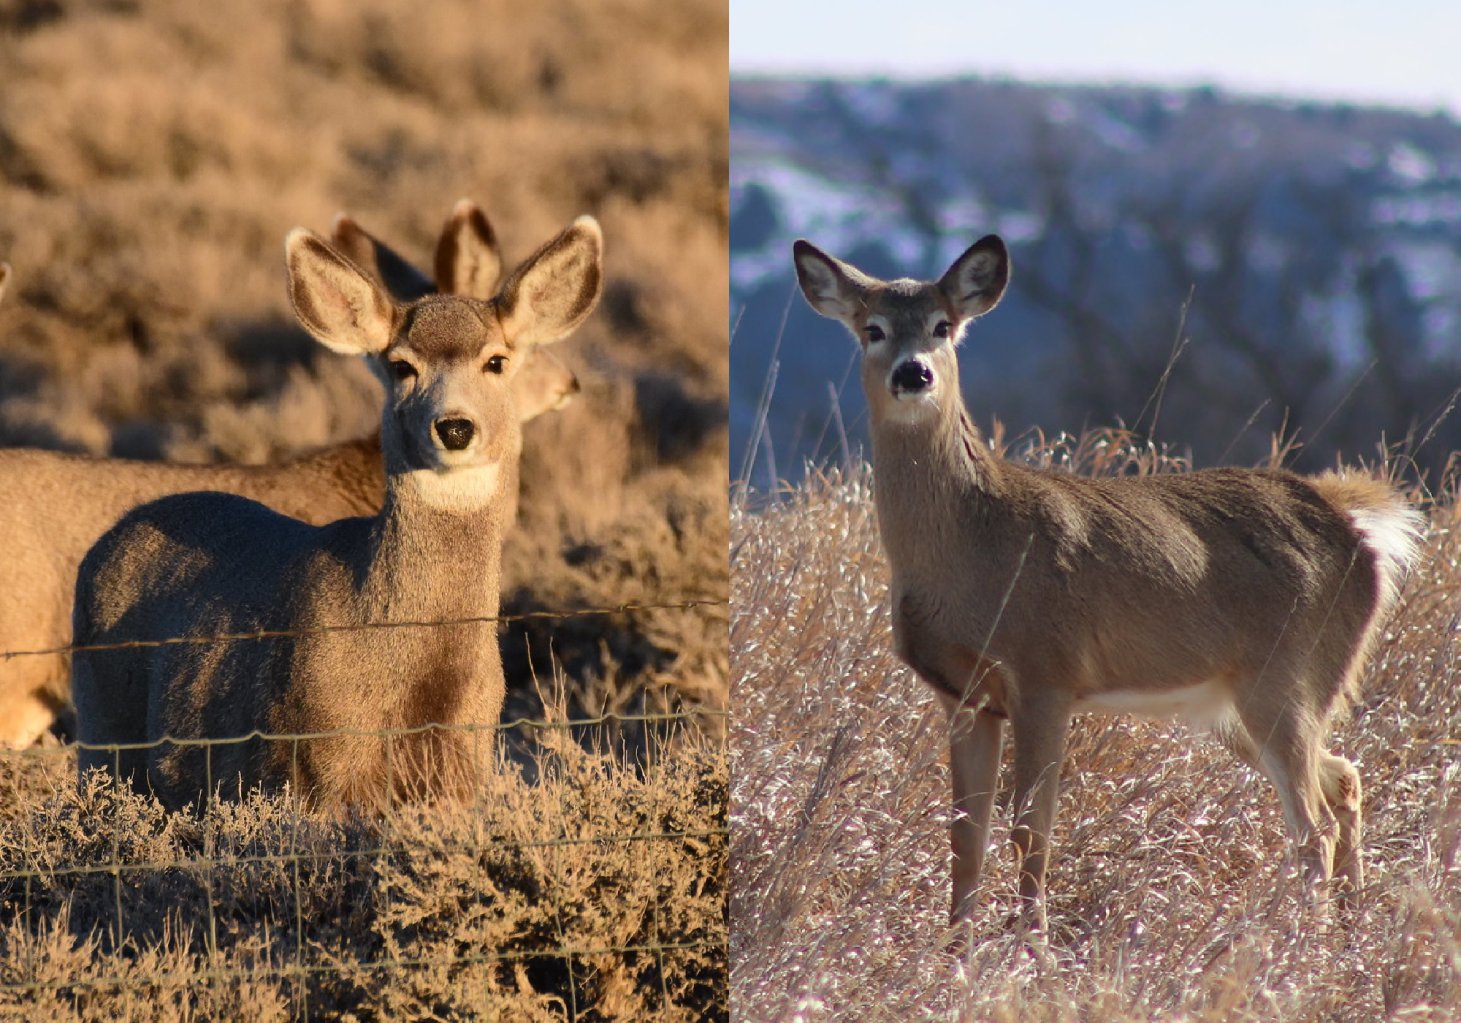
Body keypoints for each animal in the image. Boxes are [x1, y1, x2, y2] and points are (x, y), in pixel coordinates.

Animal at [71, 215, 603, 812]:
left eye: (497, 361)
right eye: (401, 365)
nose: (454, 426)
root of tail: (109, 539)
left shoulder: (464, 771)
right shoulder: (316, 768)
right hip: (102, 735)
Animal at [792, 234, 1424, 934]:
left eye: (943, 326)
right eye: (872, 329)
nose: (914, 373)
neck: (973, 555)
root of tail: (1357, 526)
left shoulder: (1045, 672)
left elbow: (1030, 829)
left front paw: (1029, 945)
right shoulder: (963, 696)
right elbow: (964, 835)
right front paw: (955, 948)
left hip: (1287, 674)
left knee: (1311, 826)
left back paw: (1300, 940)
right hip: (1237, 700)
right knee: (1343, 779)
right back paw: (1349, 924)